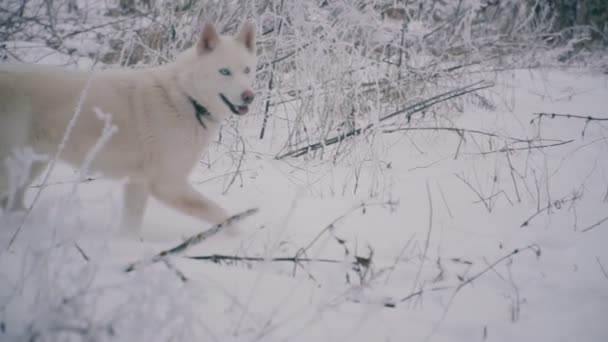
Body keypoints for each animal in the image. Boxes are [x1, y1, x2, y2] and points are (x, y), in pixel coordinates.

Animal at [0, 22, 256, 234]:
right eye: (224, 71)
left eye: (247, 70)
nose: (249, 96)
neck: (186, 97)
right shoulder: (167, 184)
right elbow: (221, 213)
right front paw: (242, 239)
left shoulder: (138, 183)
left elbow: (131, 225)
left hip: (31, 165)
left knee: (12, 203)